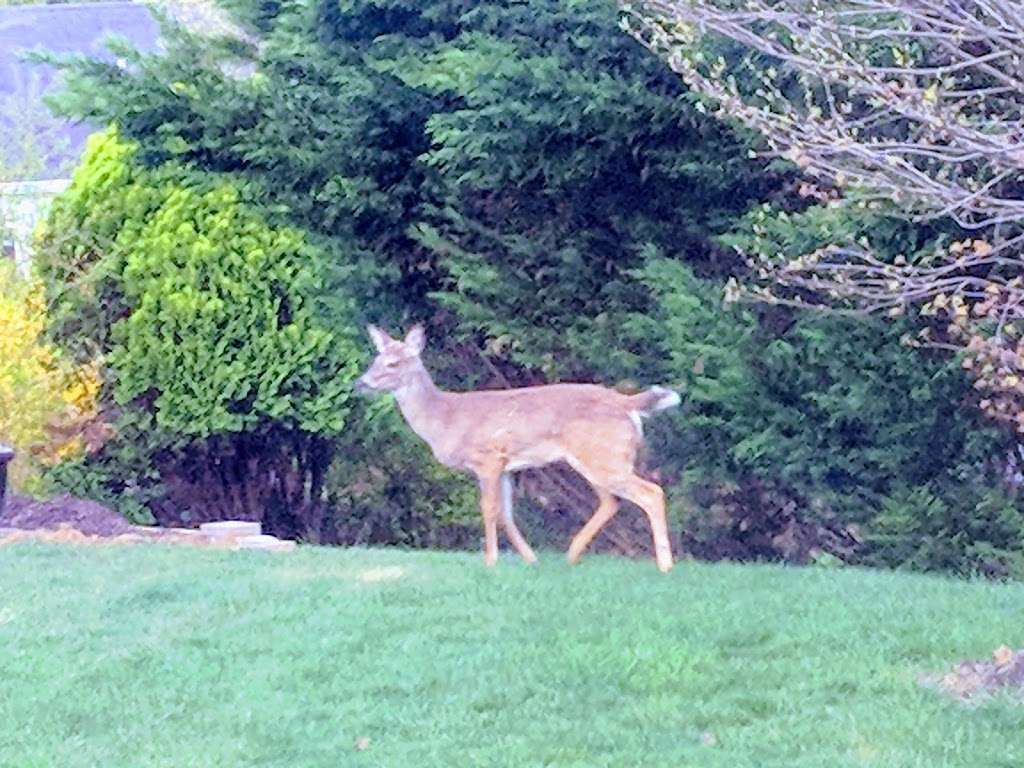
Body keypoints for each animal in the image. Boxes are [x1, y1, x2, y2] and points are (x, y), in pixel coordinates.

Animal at [356, 323, 684, 573]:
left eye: (394, 363)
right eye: (375, 360)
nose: (361, 383)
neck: (445, 419)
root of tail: (626, 403)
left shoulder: (487, 458)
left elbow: (489, 509)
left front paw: (490, 561)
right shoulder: (505, 466)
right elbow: (506, 513)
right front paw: (530, 558)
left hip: (604, 456)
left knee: (651, 493)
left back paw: (665, 565)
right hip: (597, 459)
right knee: (611, 501)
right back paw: (571, 555)